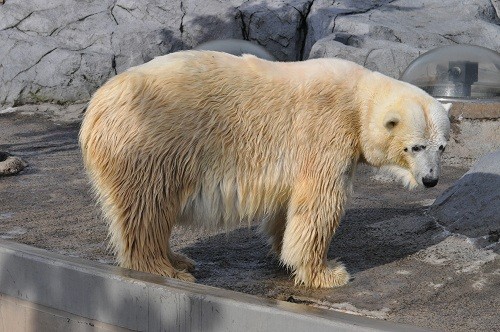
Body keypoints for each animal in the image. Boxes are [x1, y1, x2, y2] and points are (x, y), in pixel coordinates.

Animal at [80, 51, 452, 288]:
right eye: (415, 147)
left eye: (441, 146)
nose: (431, 180)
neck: (357, 98)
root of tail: (95, 109)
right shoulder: (325, 130)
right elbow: (319, 202)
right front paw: (329, 272)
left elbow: (290, 206)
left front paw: (284, 250)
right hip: (151, 143)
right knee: (148, 207)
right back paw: (166, 268)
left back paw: (178, 259)